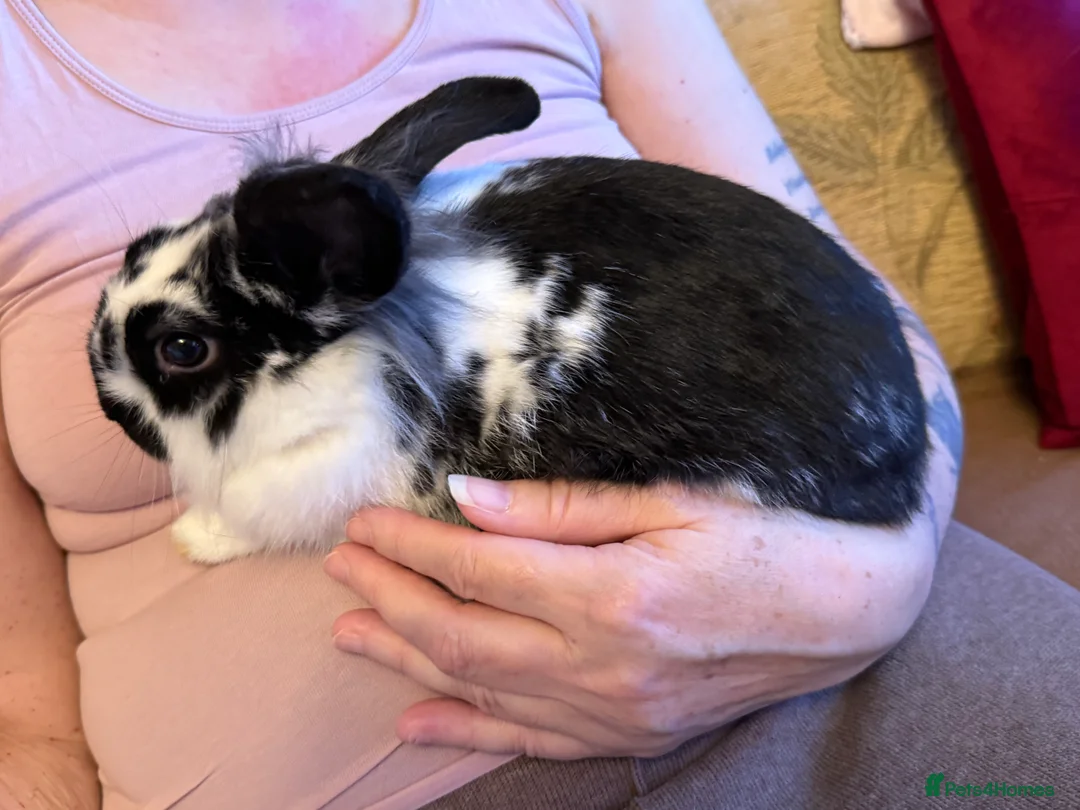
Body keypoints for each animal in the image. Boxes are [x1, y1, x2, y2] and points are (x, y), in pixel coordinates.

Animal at [86, 76, 929, 565]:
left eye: (182, 348)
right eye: (139, 246)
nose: (107, 409)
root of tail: (908, 451)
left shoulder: (311, 485)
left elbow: (247, 527)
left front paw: (193, 538)